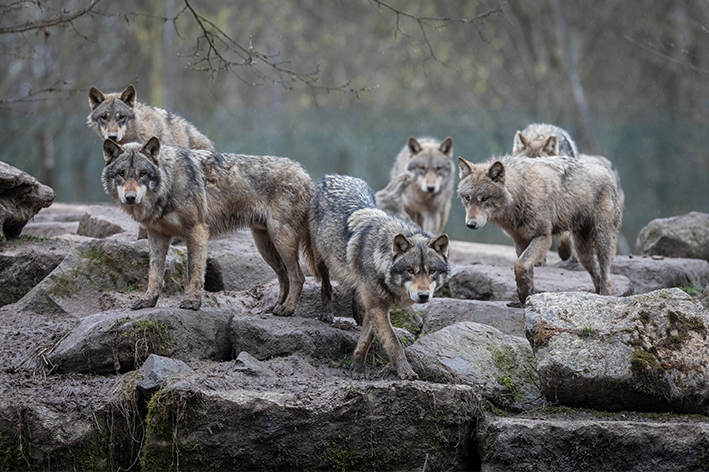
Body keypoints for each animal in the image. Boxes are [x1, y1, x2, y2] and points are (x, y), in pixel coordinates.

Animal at [101, 136, 317, 314]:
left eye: (142, 174)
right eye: (121, 174)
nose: (130, 198)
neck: (169, 184)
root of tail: (306, 174)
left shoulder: (197, 230)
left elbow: (194, 270)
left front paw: (193, 303)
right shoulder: (157, 235)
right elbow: (154, 273)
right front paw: (148, 301)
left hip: (282, 240)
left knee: (298, 276)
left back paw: (287, 309)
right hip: (265, 246)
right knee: (284, 276)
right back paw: (276, 307)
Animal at [310, 173, 450, 379]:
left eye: (431, 271)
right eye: (410, 270)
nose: (424, 296)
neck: (380, 259)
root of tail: (334, 175)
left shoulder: (377, 306)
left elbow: (366, 339)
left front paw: (357, 367)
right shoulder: (378, 306)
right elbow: (393, 342)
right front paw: (406, 371)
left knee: (356, 296)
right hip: (321, 259)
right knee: (326, 285)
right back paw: (327, 313)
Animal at [457, 155, 621, 305]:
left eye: (485, 198)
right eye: (467, 198)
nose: (470, 224)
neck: (522, 192)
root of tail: (606, 171)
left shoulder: (543, 237)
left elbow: (520, 265)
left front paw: (524, 295)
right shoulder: (520, 240)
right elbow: (525, 268)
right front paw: (526, 296)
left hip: (601, 240)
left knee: (606, 275)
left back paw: (605, 297)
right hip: (582, 252)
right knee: (596, 274)